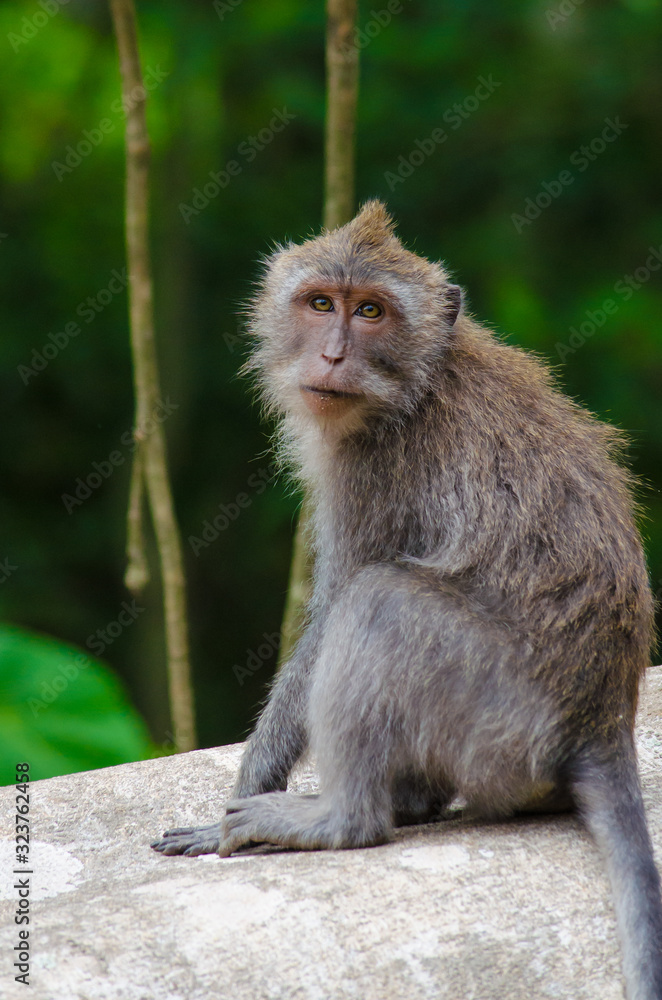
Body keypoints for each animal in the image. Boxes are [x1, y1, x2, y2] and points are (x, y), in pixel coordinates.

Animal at [154, 201, 662, 1000]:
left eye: (371, 312)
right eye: (321, 304)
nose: (332, 357)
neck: (417, 382)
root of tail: (602, 722)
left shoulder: (374, 468)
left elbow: (336, 606)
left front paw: (246, 788)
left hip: (500, 722)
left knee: (381, 601)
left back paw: (345, 818)